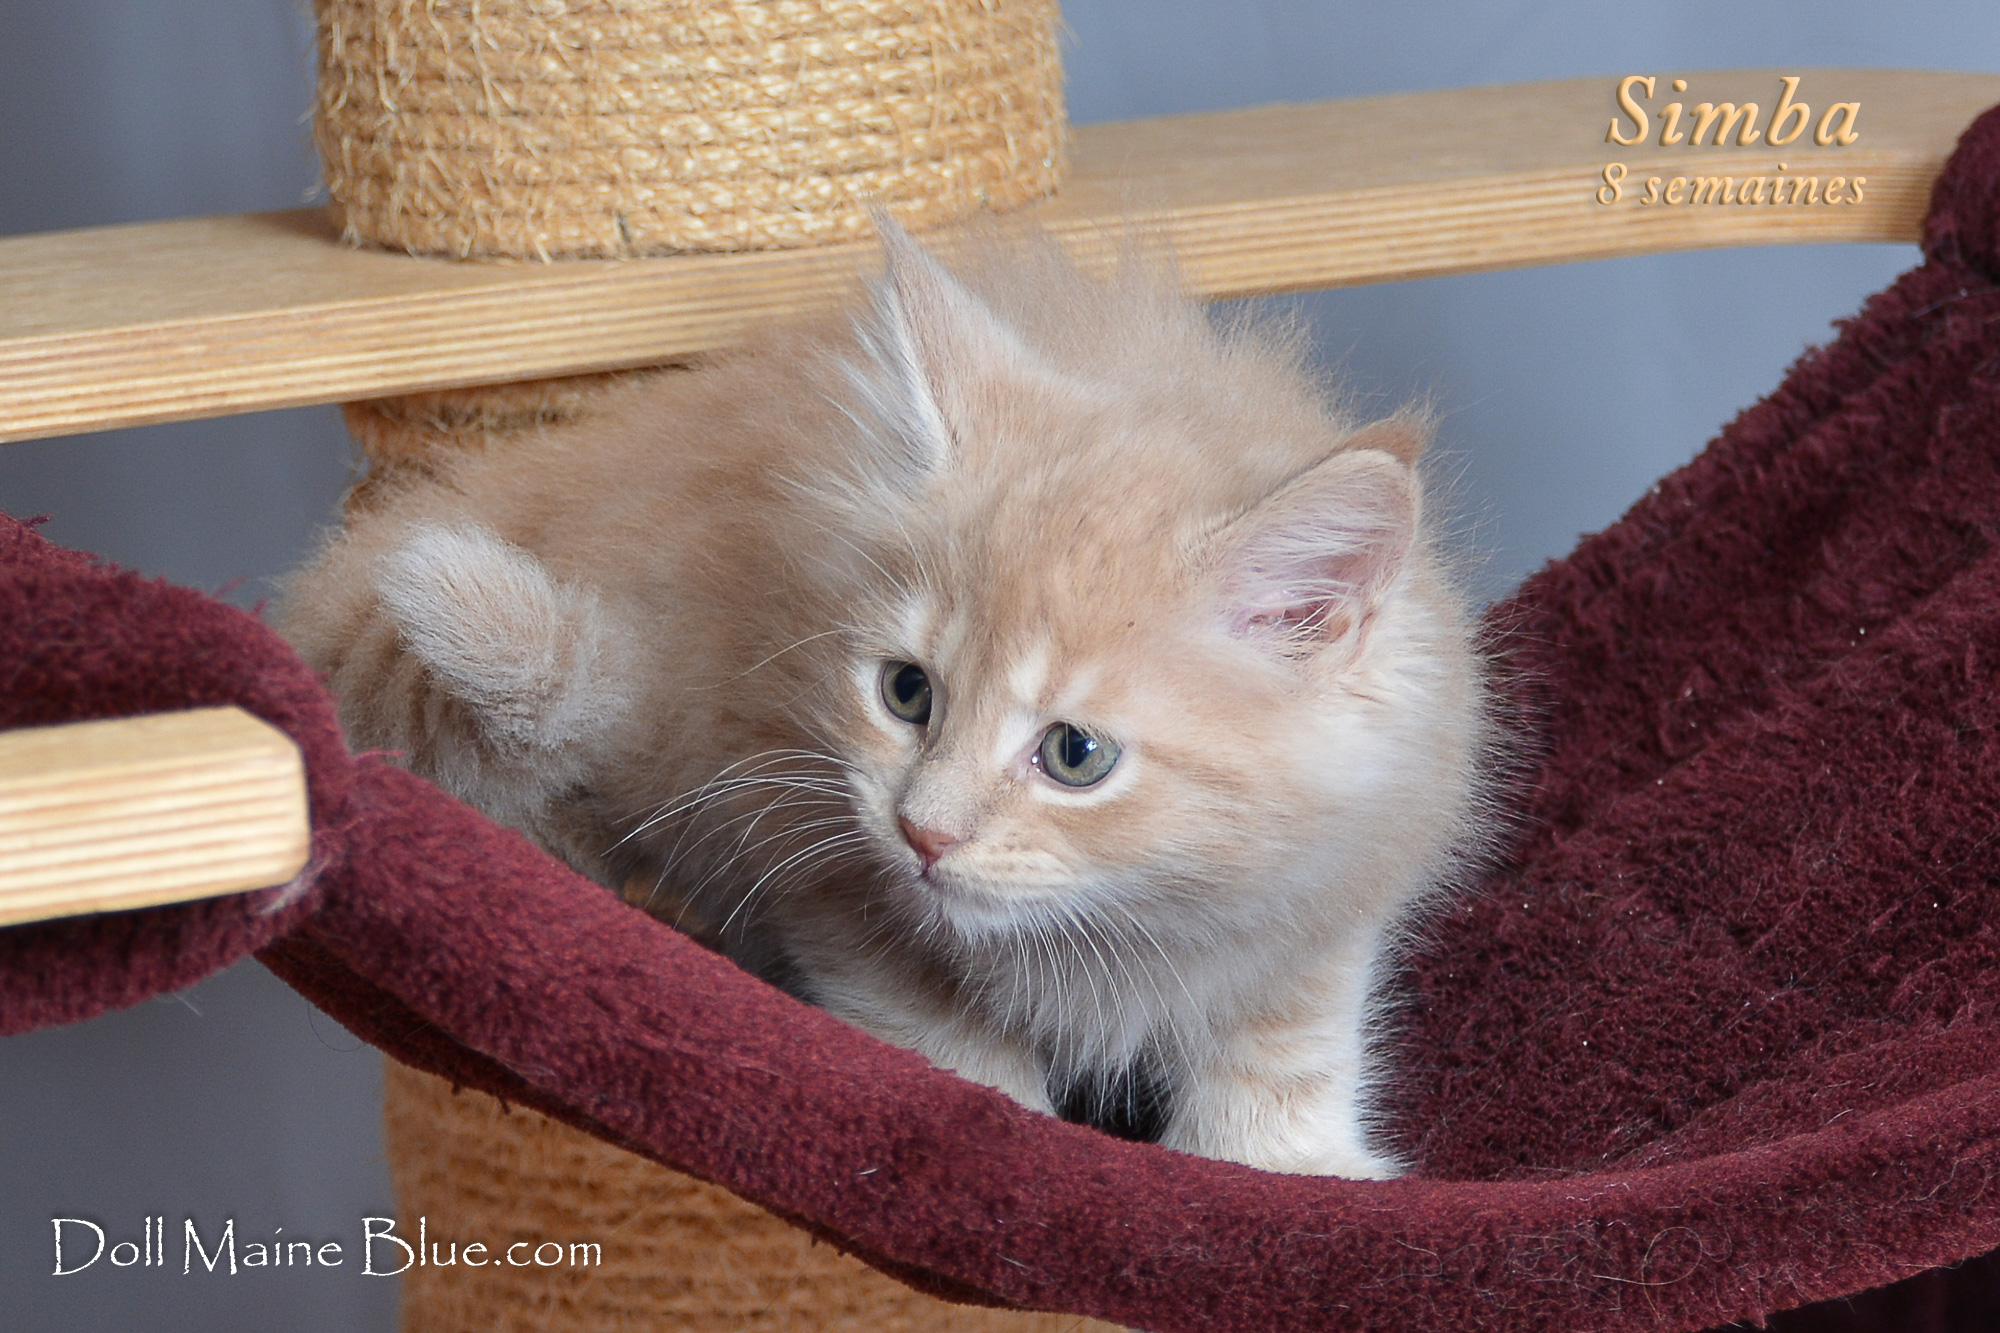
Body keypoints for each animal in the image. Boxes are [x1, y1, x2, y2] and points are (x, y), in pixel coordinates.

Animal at [280, 221, 1493, 1178]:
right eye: (907, 692)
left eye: (1076, 755)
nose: (924, 830)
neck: (1120, 920)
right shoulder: (806, 837)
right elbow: (931, 1028)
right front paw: (1005, 1129)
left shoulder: (1338, 878)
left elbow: (1285, 1038)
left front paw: (1280, 1164)